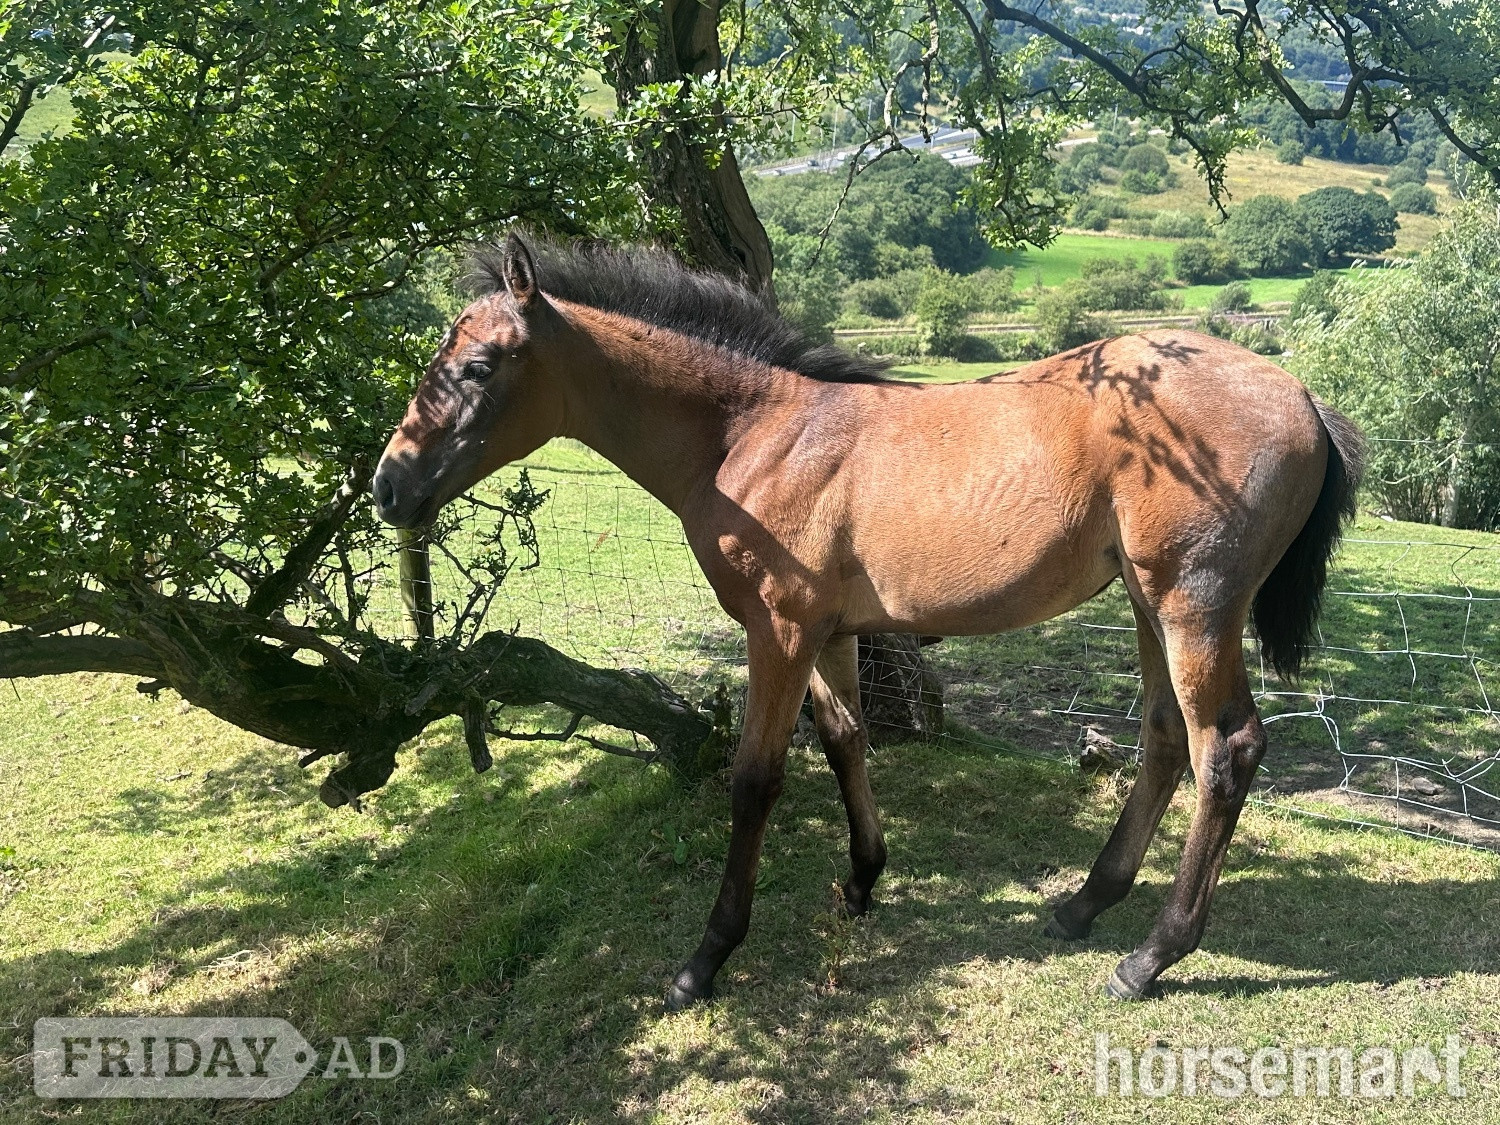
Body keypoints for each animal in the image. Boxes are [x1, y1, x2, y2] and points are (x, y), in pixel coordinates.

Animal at [372, 232, 1364, 1008]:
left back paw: (1151, 956)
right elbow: (847, 737)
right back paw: (1083, 903)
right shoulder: (831, 631)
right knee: (1164, 736)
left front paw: (706, 958)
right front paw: (860, 881)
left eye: (476, 368)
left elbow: (756, 778)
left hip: (1194, 605)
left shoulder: (777, 629)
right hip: (1145, 602)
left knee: (1224, 748)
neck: (754, 431)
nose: (388, 486)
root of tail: (1304, 397)